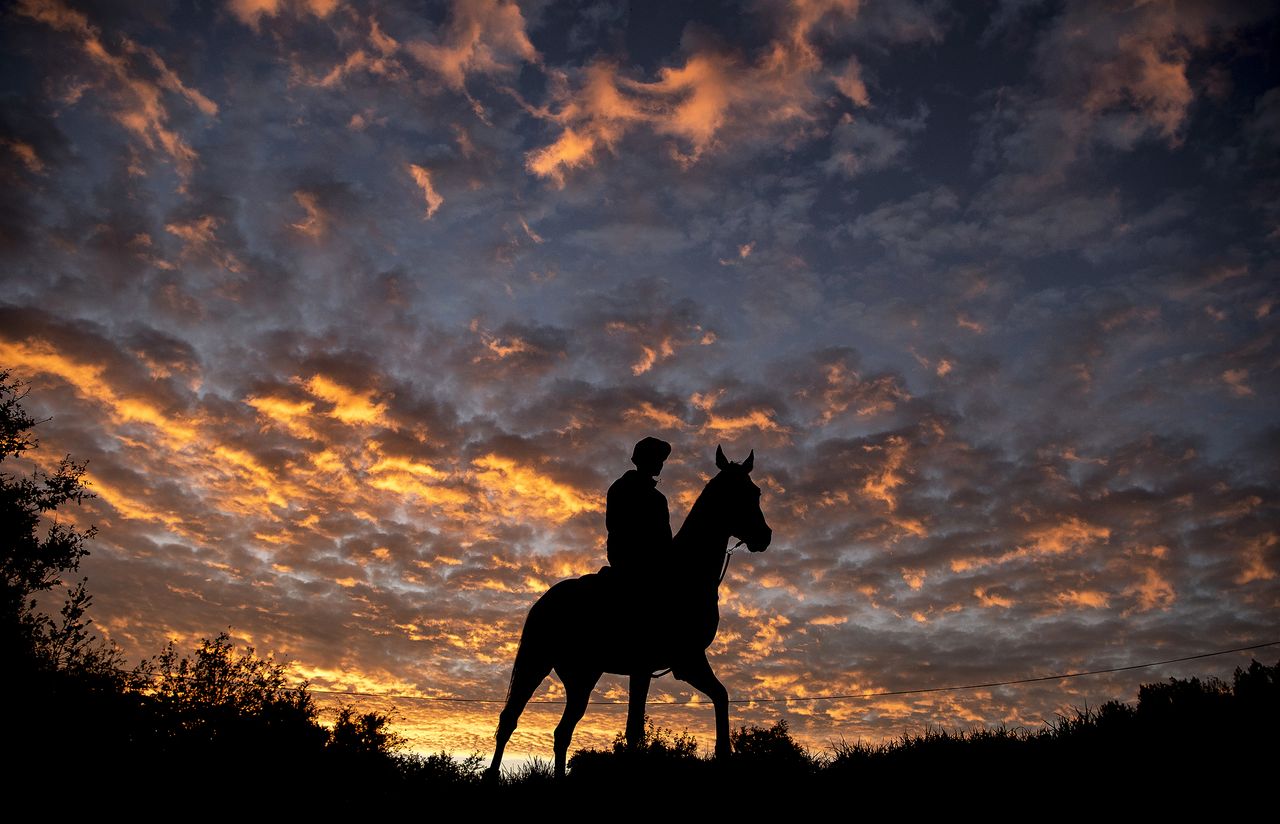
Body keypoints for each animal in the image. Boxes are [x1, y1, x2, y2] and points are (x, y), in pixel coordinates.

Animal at [486, 447, 768, 777]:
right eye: (737, 493)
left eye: (755, 491)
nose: (765, 536)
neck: (683, 575)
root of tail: (545, 600)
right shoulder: (671, 662)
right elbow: (636, 728)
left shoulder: (682, 662)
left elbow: (719, 697)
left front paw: (724, 754)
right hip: (536, 662)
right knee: (510, 719)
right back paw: (492, 776)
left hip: (582, 676)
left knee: (562, 731)